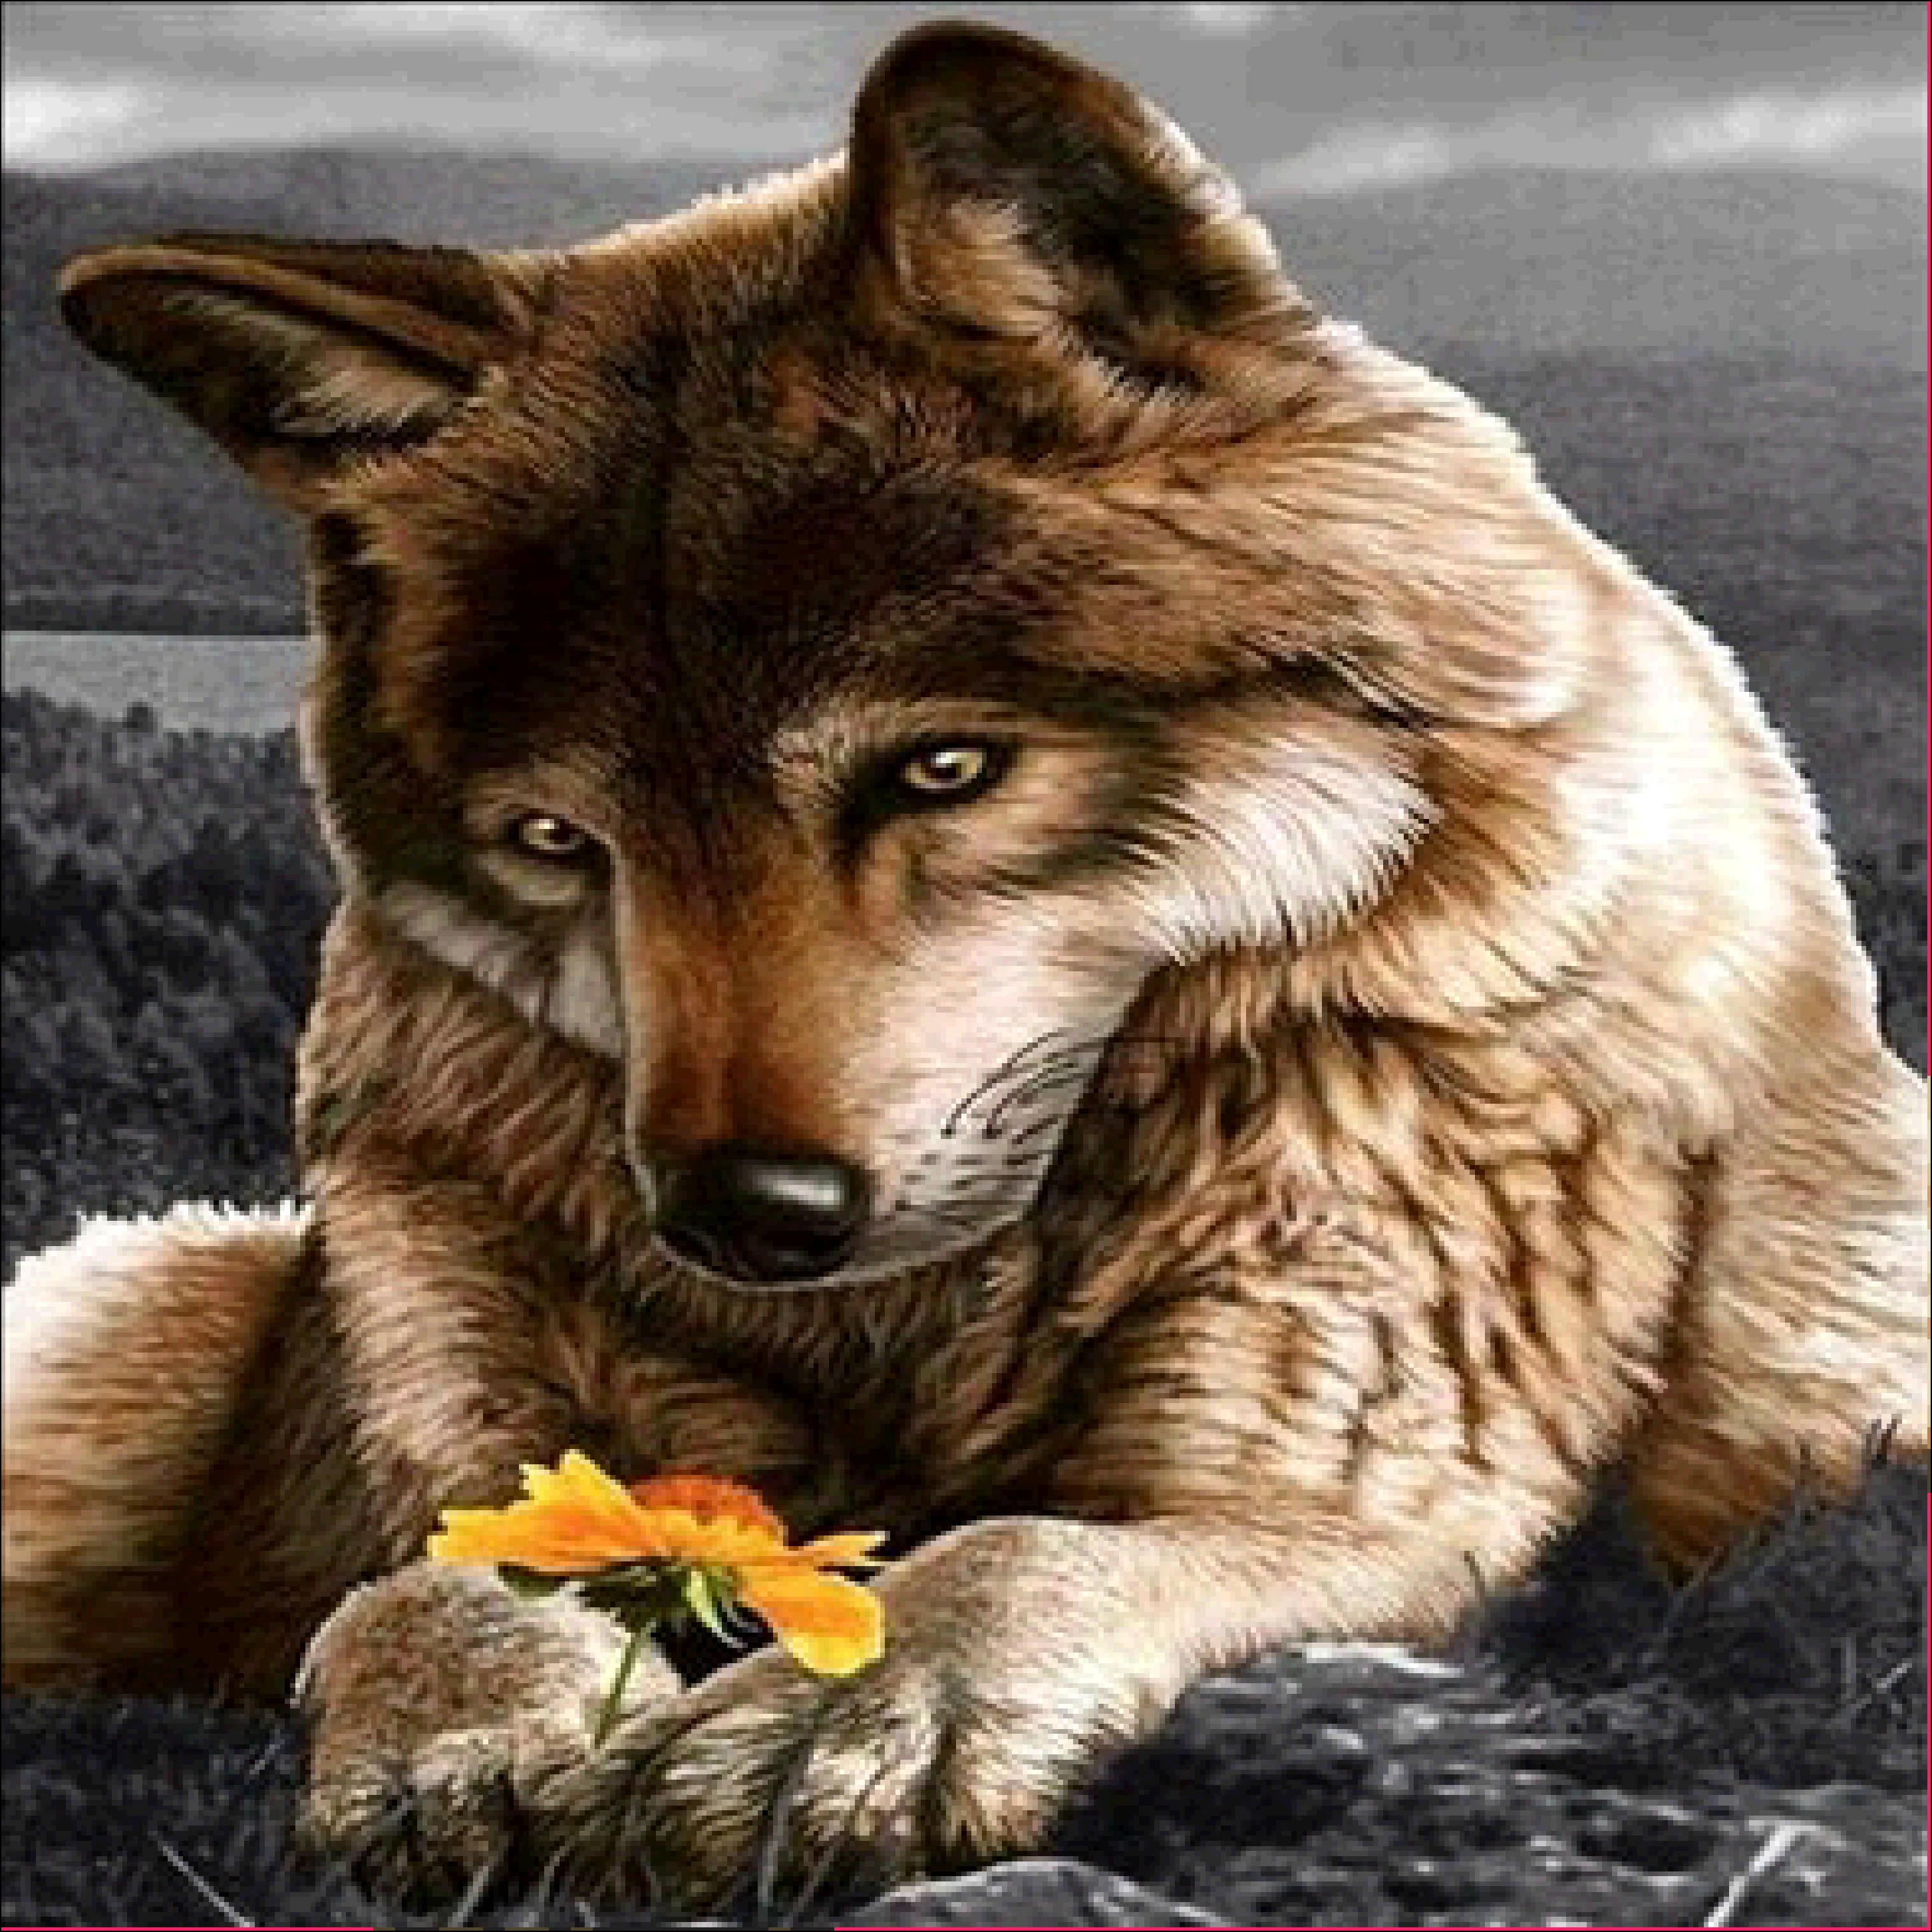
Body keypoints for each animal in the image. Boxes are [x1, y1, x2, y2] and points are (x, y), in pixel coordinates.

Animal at [5, 17, 1925, 1911]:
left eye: (941, 769)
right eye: (556, 841)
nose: (739, 1215)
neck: (922, 1331)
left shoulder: (1348, 1490)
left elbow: (1013, 1548)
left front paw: (841, 1720)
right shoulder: (469, 1412)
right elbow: (441, 1573)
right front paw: (467, 1731)